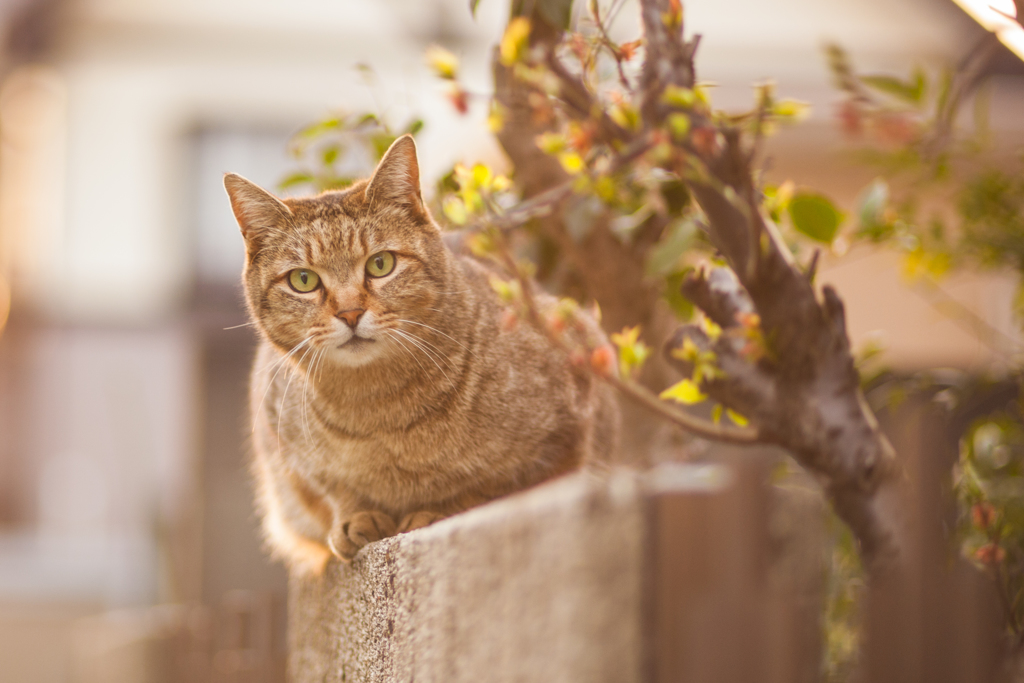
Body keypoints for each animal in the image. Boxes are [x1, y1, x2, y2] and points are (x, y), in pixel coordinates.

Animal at [225, 136, 618, 573]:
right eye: (304, 280)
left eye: (381, 264)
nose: (350, 313)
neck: (378, 410)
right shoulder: (285, 448)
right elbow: (333, 490)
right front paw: (355, 516)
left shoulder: (564, 435)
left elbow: (489, 487)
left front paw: (438, 509)